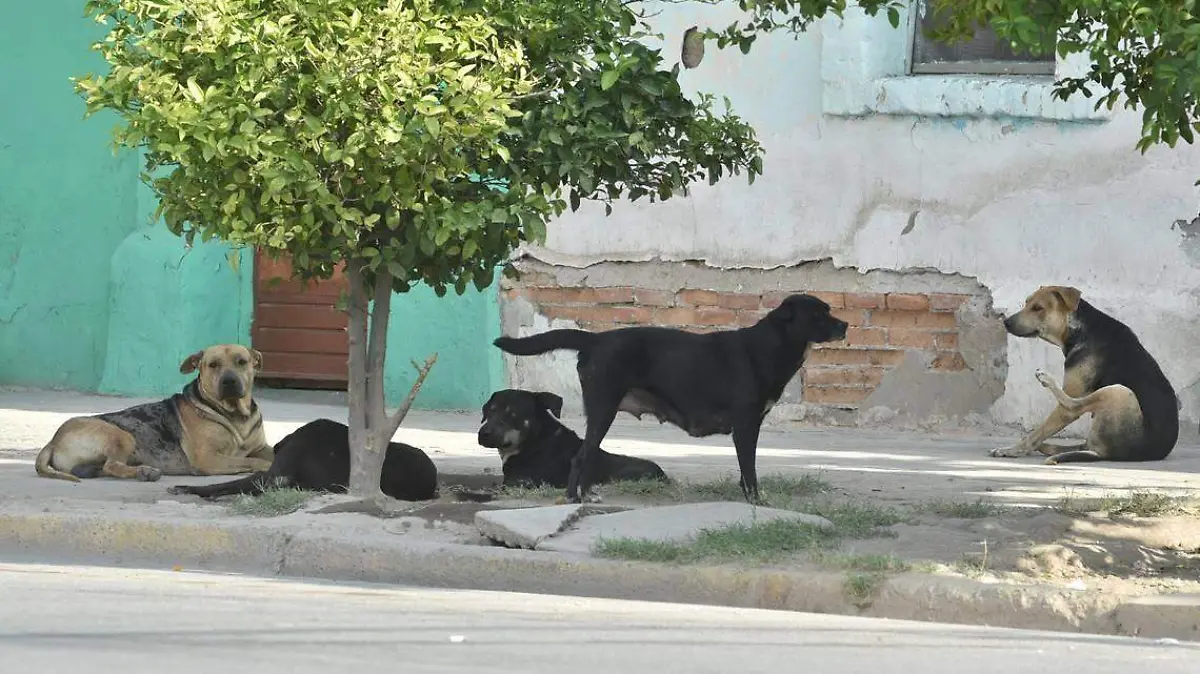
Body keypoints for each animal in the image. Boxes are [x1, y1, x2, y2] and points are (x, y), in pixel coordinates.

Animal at [34, 342, 273, 479]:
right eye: (213, 364)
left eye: (241, 362)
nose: (229, 381)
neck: (235, 415)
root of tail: (53, 440)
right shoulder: (209, 458)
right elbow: (253, 461)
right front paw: (265, 466)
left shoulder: (261, 447)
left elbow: (268, 453)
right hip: (121, 435)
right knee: (112, 465)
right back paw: (144, 472)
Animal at [988, 283, 1176, 460]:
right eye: (1026, 303)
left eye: (1038, 308)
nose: (1006, 322)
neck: (1080, 330)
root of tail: (1104, 453)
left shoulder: (1070, 400)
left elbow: (1038, 432)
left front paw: (1011, 450)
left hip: (1119, 391)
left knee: (1072, 406)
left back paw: (1046, 379)